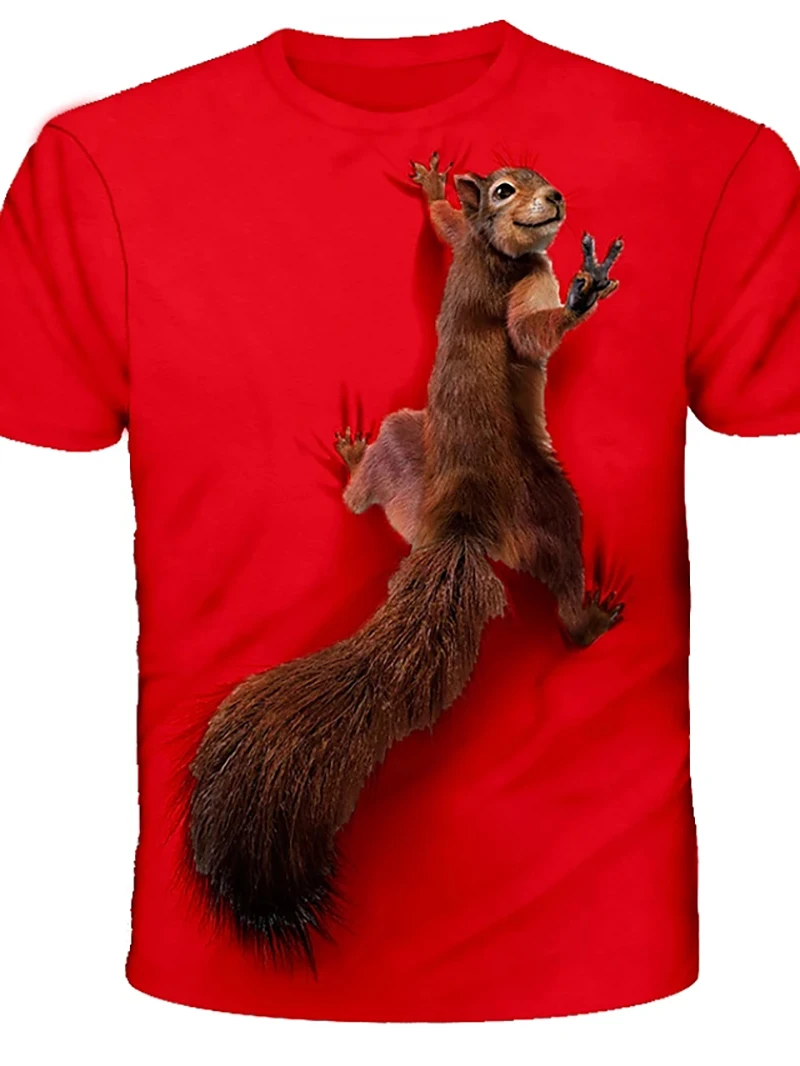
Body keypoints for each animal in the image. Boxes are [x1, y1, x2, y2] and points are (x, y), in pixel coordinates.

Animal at [188, 153, 624, 965]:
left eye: (537, 177)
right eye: (508, 189)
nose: (556, 199)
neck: (496, 253)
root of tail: (456, 525)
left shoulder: (467, 250)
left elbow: (444, 226)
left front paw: (432, 190)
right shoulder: (520, 290)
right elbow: (532, 335)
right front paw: (583, 292)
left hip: (404, 463)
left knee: (365, 499)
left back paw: (352, 464)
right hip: (551, 504)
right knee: (564, 591)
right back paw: (589, 617)